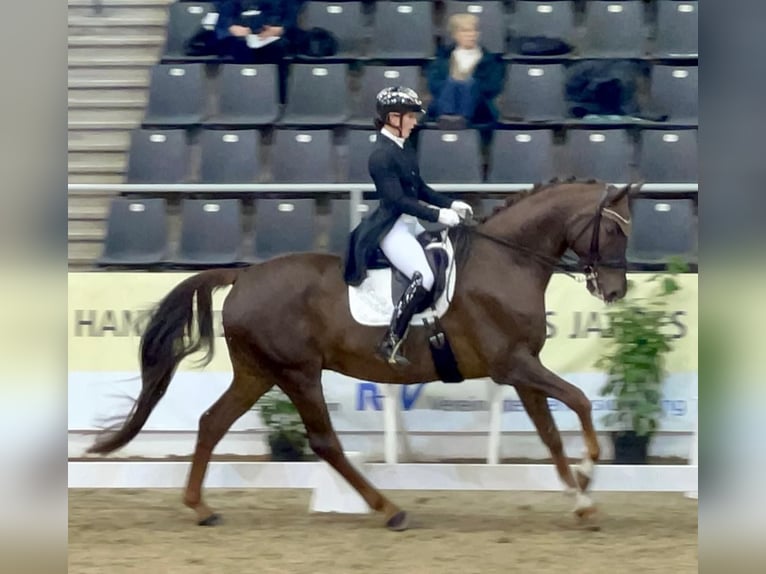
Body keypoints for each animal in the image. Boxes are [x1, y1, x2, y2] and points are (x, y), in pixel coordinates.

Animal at [87, 179, 636, 531]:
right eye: (614, 230)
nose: (614, 291)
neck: (507, 261)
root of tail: (243, 276)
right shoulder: (514, 364)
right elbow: (579, 401)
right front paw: (590, 471)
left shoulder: (522, 370)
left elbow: (550, 434)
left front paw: (581, 500)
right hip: (297, 372)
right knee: (324, 441)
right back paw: (389, 510)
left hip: (258, 372)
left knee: (211, 422)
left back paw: (200, 508)